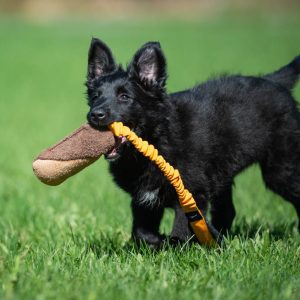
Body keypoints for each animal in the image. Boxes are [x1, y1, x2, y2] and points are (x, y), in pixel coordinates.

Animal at [86, 38, 300, 248]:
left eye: (124, 97)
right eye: (95, 97)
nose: (95, 115)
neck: (157, 138)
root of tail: (274, 81)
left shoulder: (192, 196)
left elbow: (180, 234)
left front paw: (173, 245)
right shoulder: (144, 200)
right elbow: (141, 233)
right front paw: (158, 242)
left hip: (280, 170)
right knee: (227, 212)